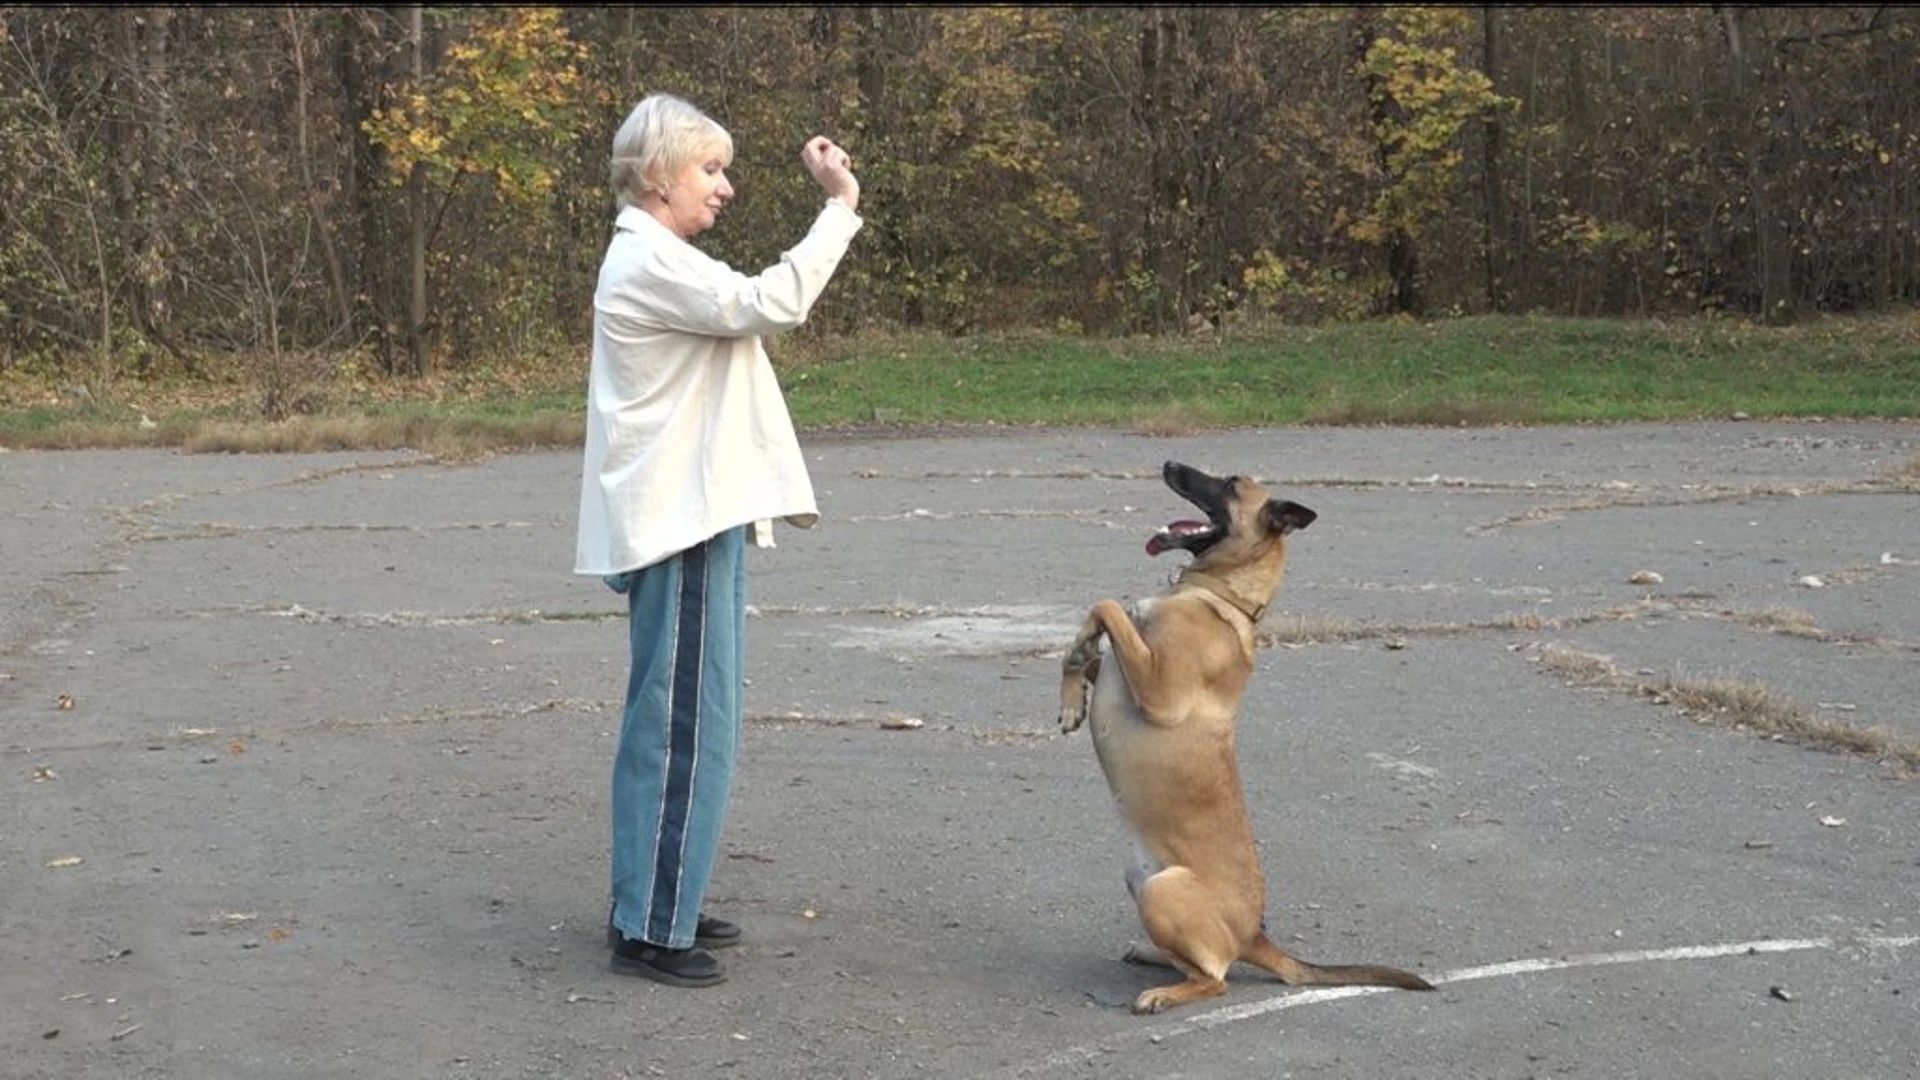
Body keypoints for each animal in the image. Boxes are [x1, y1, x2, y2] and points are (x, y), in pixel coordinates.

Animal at [1059, 461, 1436, 1006]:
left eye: (1230, 484)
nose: (1170, 463)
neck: (1216, 597)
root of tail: (1253, 936)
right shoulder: (1121, 666)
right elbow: (1093, 640)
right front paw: (1071, 694)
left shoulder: (1159, 692)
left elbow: (1108, 605)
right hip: (1140, 880)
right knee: (1202, 960)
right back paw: (1152, 955)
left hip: (1162, 891)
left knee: (1214, 977)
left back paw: (1165, 993)